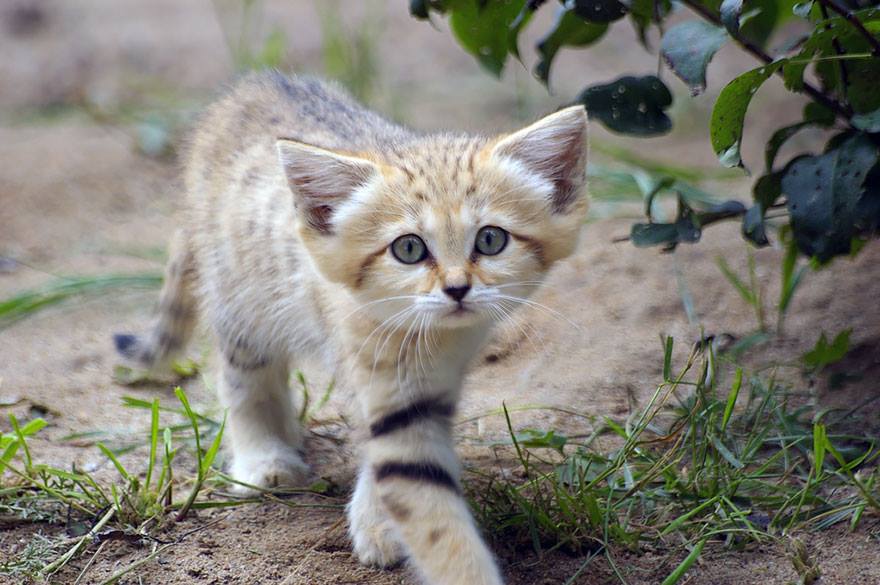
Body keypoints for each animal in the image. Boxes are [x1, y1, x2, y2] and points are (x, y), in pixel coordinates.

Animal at [115, 72, 584, 584]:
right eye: (409, 249)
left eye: (491, 240)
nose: (457, 289)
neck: (430, 337)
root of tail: (250, 87)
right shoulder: (385, 382)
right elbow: (424, 503)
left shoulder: (432, 387)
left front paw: (376, 521)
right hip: (239, 300)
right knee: (244, 379)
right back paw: (264, 456)